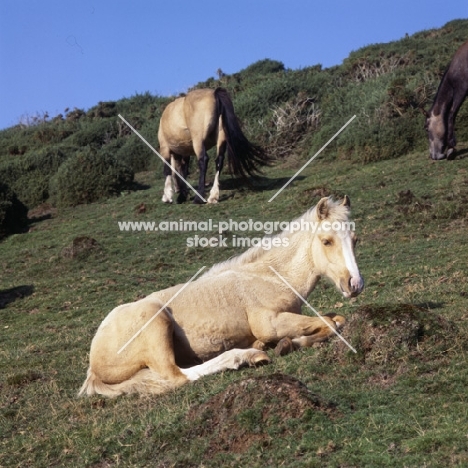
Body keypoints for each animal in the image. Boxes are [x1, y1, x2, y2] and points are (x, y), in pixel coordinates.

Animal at [80, 196, 364, 396]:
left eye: (354, 239)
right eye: (327, 241)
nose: (355, 284)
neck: (270, 277)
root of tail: (93, 364)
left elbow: (336, 320)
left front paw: (286, 342)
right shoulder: (269, 323)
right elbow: (331, 323)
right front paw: (285, 344)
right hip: (156, 322)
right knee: (177, 375)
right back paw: (248, 357)